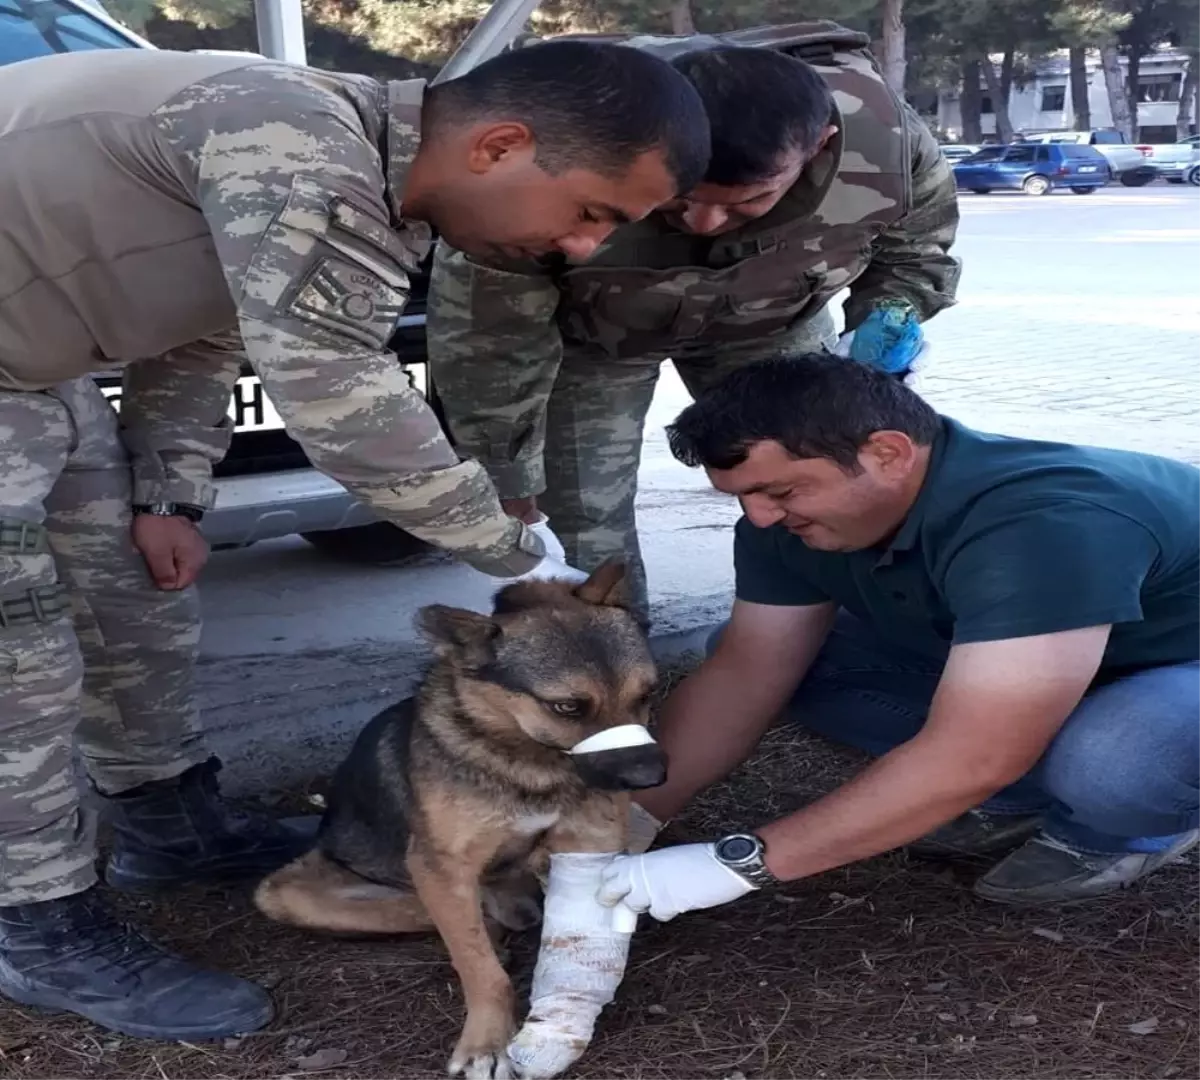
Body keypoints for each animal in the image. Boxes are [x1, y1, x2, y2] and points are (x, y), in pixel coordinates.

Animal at [255, 561, 667, 1080]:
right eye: (567, 707)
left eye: (646, 694)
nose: (652, 777)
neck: (527, 762)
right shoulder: (441, 867)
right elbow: (478, 967)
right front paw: (486, 1040)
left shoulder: (589, 842)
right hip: (288, 894)